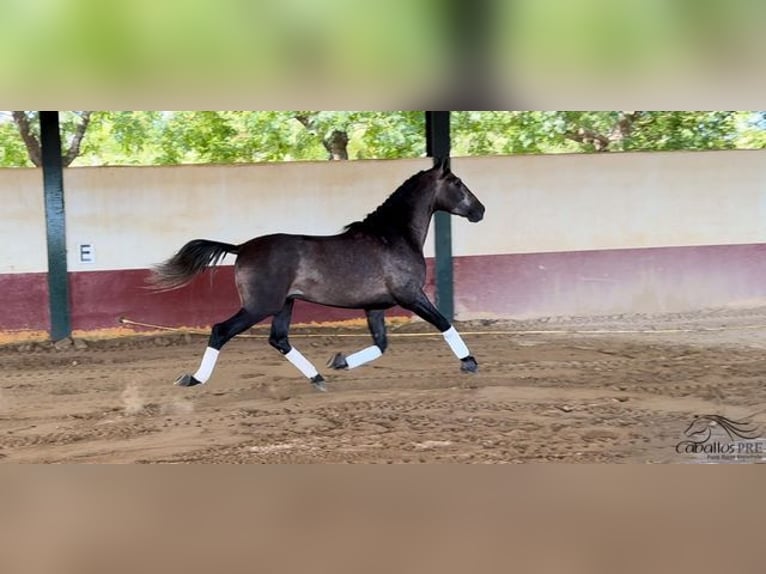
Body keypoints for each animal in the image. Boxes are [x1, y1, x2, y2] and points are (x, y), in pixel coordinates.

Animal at [150, 158, 486, 392]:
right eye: (457, 182)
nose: (480, 211)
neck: (393, 236)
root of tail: (242, 247)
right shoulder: (411, 295)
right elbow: (443, 322)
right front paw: (470, 363)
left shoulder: (375, 306)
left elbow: (381, 345)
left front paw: (339, 361)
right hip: (260, 306)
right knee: (221, 331)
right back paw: (192, 379)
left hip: (284, 305)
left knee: (278, 339)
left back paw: (317, 377)